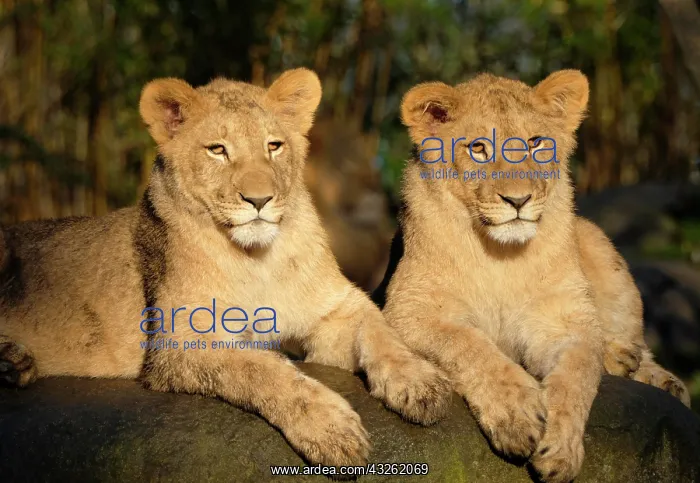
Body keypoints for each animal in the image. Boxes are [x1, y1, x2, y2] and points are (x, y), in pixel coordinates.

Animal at [0, 68, 450, 468]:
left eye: (274, 146)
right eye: (218, 149)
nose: (259, 199)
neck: (258, 260)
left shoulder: (334, 310)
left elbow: (381, 331)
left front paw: (421, 383)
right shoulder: (179, 343)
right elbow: (262, 370)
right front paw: (331, 428)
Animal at [375, 70, 690, 482]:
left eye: (536, 143)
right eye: (479, 148)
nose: (518, 200)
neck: (502, 258)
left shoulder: (563, 322)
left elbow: (576, 375)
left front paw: (560, 449)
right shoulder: (409, 310)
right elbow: (469, 346)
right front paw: (517, 413)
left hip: (597, 242)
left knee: (629, 341)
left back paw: (640, 367)